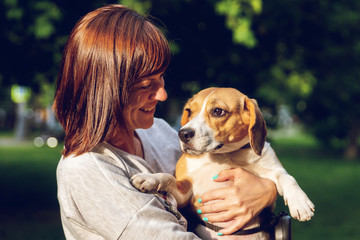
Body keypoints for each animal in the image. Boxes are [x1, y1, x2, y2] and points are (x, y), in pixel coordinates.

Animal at [132, 87, 316, 238]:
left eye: (218, 111)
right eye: (189, 111)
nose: (183, 134)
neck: (225, 155)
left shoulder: (272, 171)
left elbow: (287, 178)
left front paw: (300, 202)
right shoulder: (183, 194)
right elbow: (168, 178)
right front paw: (149, 178)